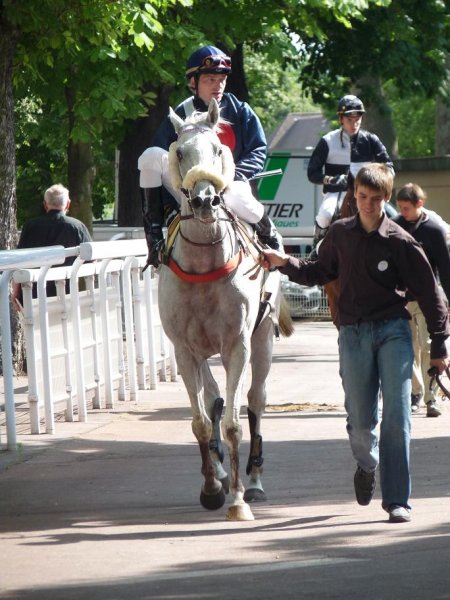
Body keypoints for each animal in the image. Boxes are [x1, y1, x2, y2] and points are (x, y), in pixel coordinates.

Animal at [156, 99, 294, 520]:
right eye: (179, 152)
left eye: (218, 149)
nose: (205, 200)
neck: (204, 265)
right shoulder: (185, 350)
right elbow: (202, 421)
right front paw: (212, 487)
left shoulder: (238, 345)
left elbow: (234, 422)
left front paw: (236, 498)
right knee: (214, 398)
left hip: (263, 341)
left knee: (255, 400)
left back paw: (255, 482)